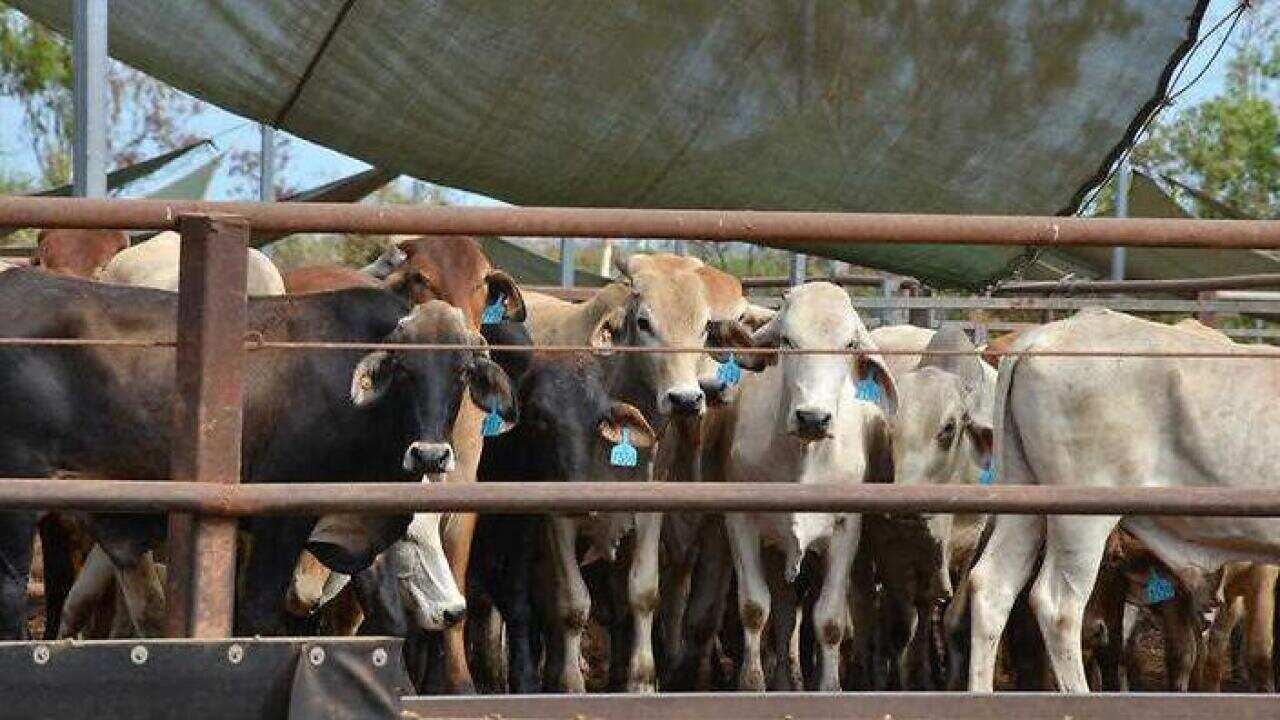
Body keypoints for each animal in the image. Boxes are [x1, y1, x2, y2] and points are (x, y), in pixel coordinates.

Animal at [0, 269, 516, 638]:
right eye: (404, 370)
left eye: (463, 372)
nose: (430, 456)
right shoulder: (279, 519)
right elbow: (258, 612)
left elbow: (385, 617)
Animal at [711, 281, 896, 691]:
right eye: (788, 340)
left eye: (849, 344)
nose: (812, 417)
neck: (803, 460)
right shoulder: (740, 521)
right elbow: (754, 608)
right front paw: (752, 684)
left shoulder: (846, 529)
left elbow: (829, 621)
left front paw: (829, 687)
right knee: (781, 610)